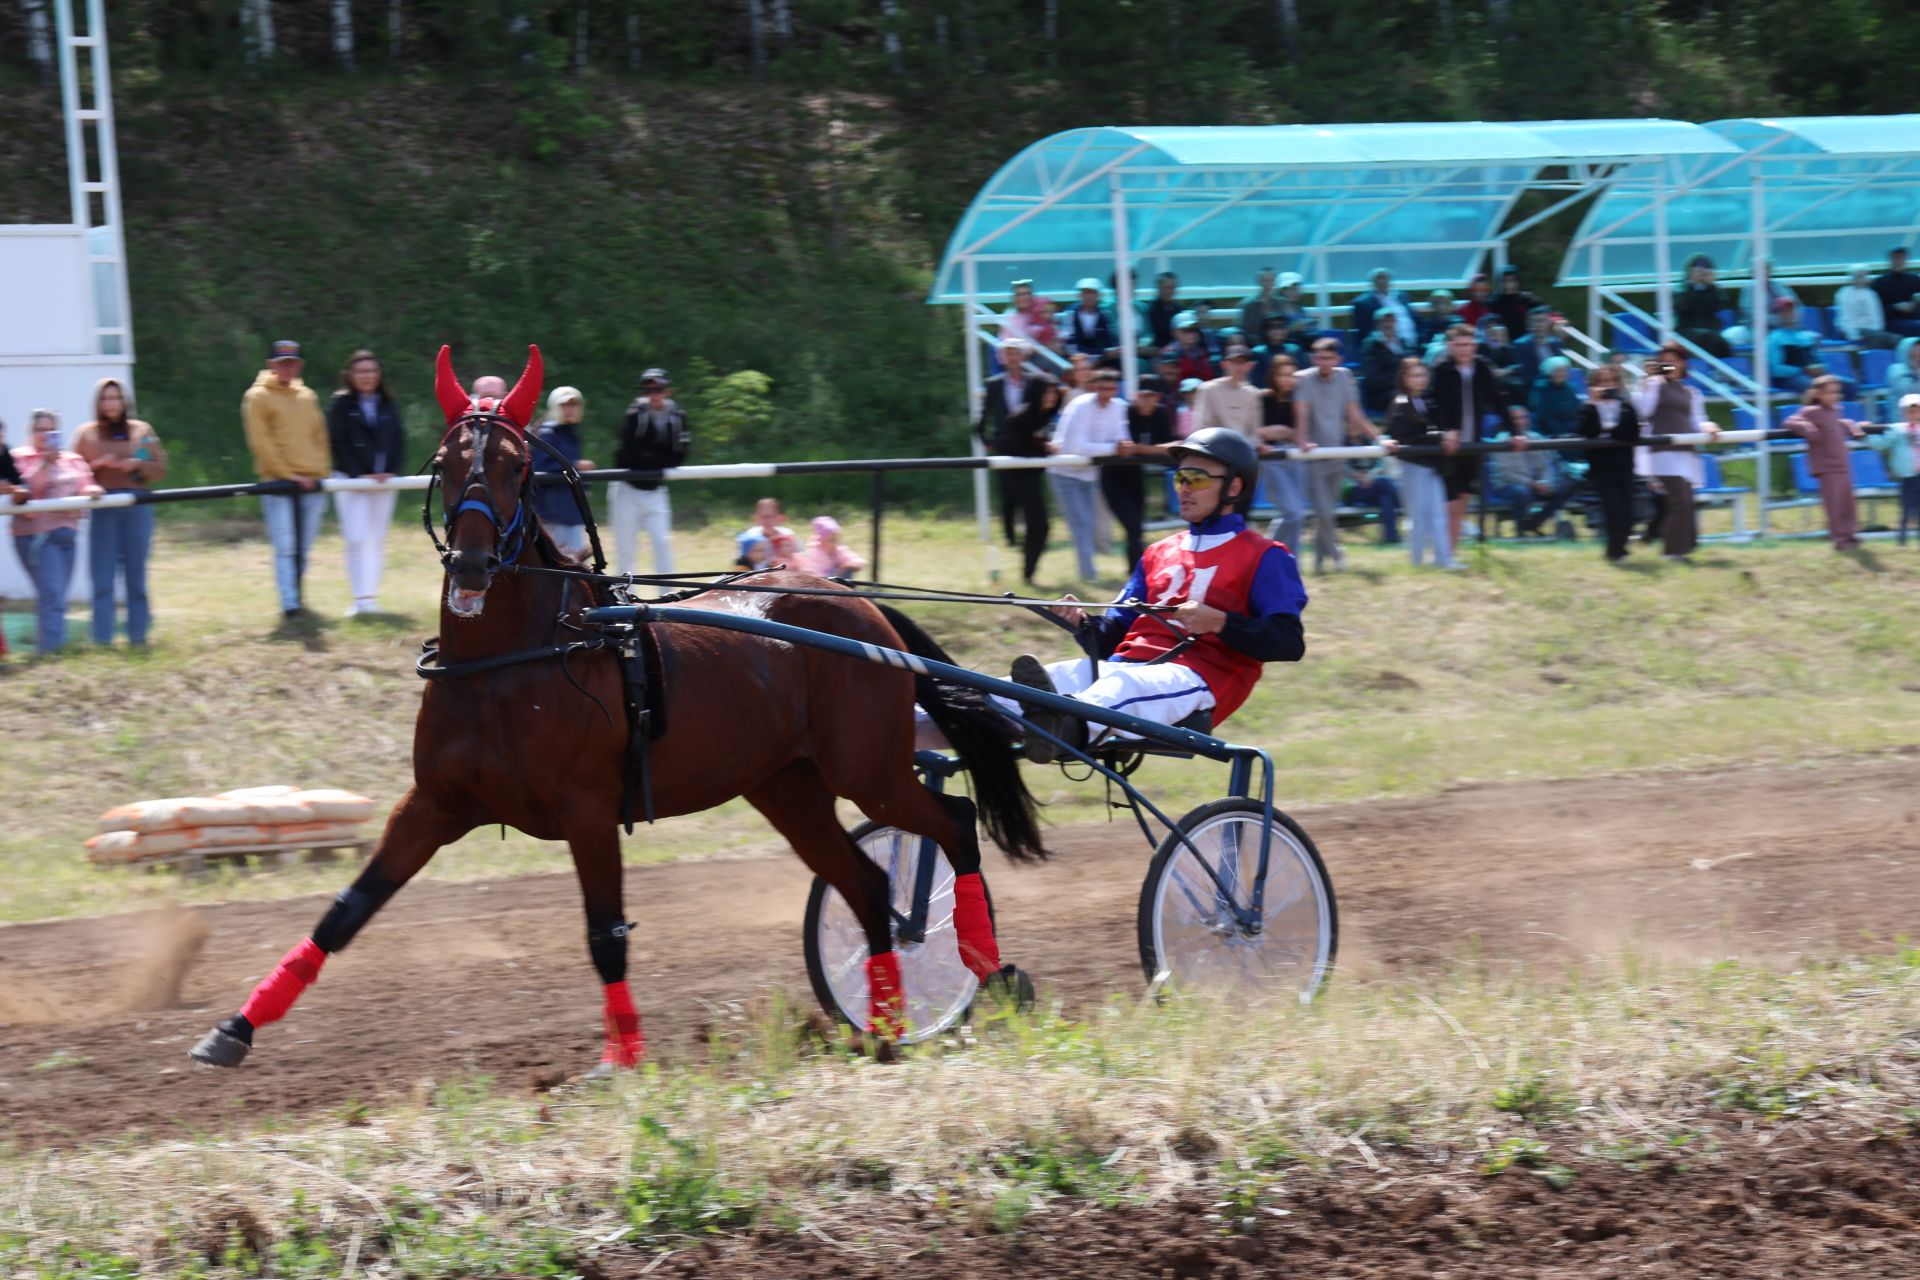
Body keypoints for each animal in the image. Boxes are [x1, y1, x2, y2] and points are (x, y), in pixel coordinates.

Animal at [187, 343, 1044, 1074]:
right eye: (446, 461)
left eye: (517, 465)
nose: (470, 563)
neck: (506, 665)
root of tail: (858, 606)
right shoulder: (433, 803)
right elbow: (346, 911)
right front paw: (235, 1027)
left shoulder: (589, 810)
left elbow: (605, 934)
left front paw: (623, 1057)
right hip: (786, 786)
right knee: (866, 885)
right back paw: (890, 1022)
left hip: (866, 768)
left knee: (951, 825)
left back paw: (983, 965)